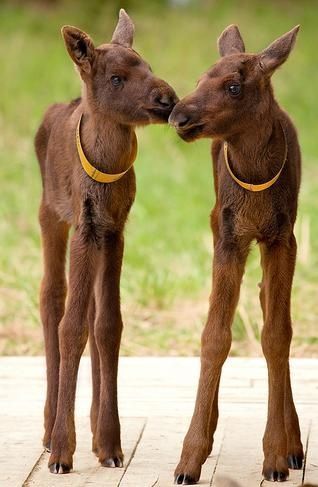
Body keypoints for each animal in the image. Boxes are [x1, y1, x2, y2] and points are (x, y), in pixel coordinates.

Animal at [36, 9, 178, 474]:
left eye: (148, 65)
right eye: (116, 78)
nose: (168, 98)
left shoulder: (115, 230)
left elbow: (108, 325)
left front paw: (112, 444)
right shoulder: (84, 227)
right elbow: (71, 326)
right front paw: (62, 451)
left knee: (94, 314)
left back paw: (97, 437)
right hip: (49, 216)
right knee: (51, 298)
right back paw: (49, 430)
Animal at [170, 25, 302, 484]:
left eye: (233, 86)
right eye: (199, 78)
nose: (178, 115)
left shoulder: (282, 238)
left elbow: (277, 335)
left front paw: (276, 454)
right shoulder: (228, 237)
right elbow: (214, 336)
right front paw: (190, 455)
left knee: (267, 305)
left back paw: (295, 445)